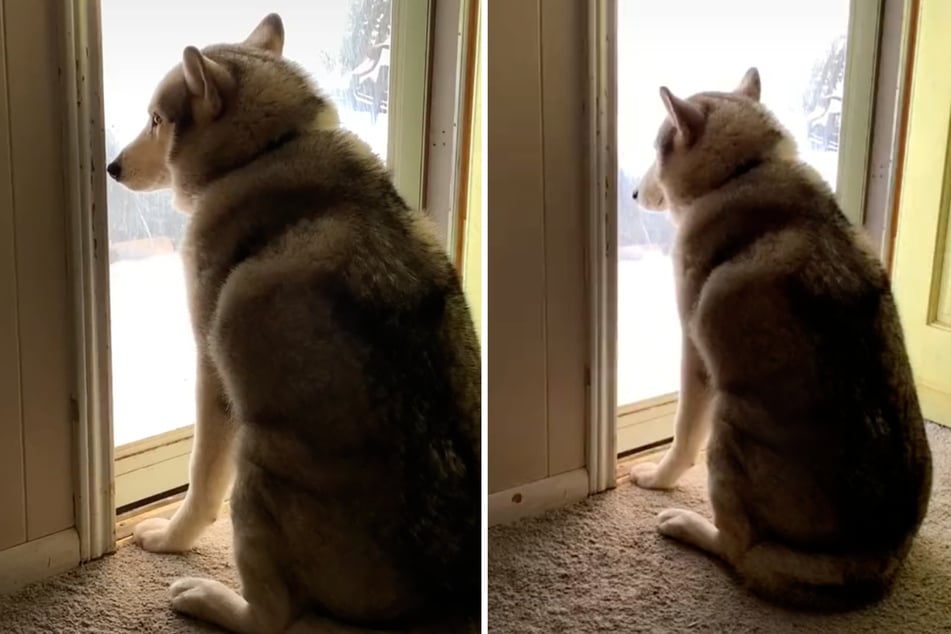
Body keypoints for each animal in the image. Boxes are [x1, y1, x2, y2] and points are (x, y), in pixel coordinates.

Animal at [107, 14, 484, 632]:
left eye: (156, 120)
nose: (111, 167)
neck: (269, 148)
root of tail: (442, 588)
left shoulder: (212, 375)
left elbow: (200, 482)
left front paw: (170, 539)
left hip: (258, 458)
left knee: (273, 616)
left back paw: (208, 598)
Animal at [628, 68, 932, 608]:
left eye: (656, 151)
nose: (635, 197)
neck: (745, 169)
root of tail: (879, 553)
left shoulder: (695, 356)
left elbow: (682, 435)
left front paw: (658, 479)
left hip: (728, 423)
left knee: (741, 549)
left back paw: (689, 527)